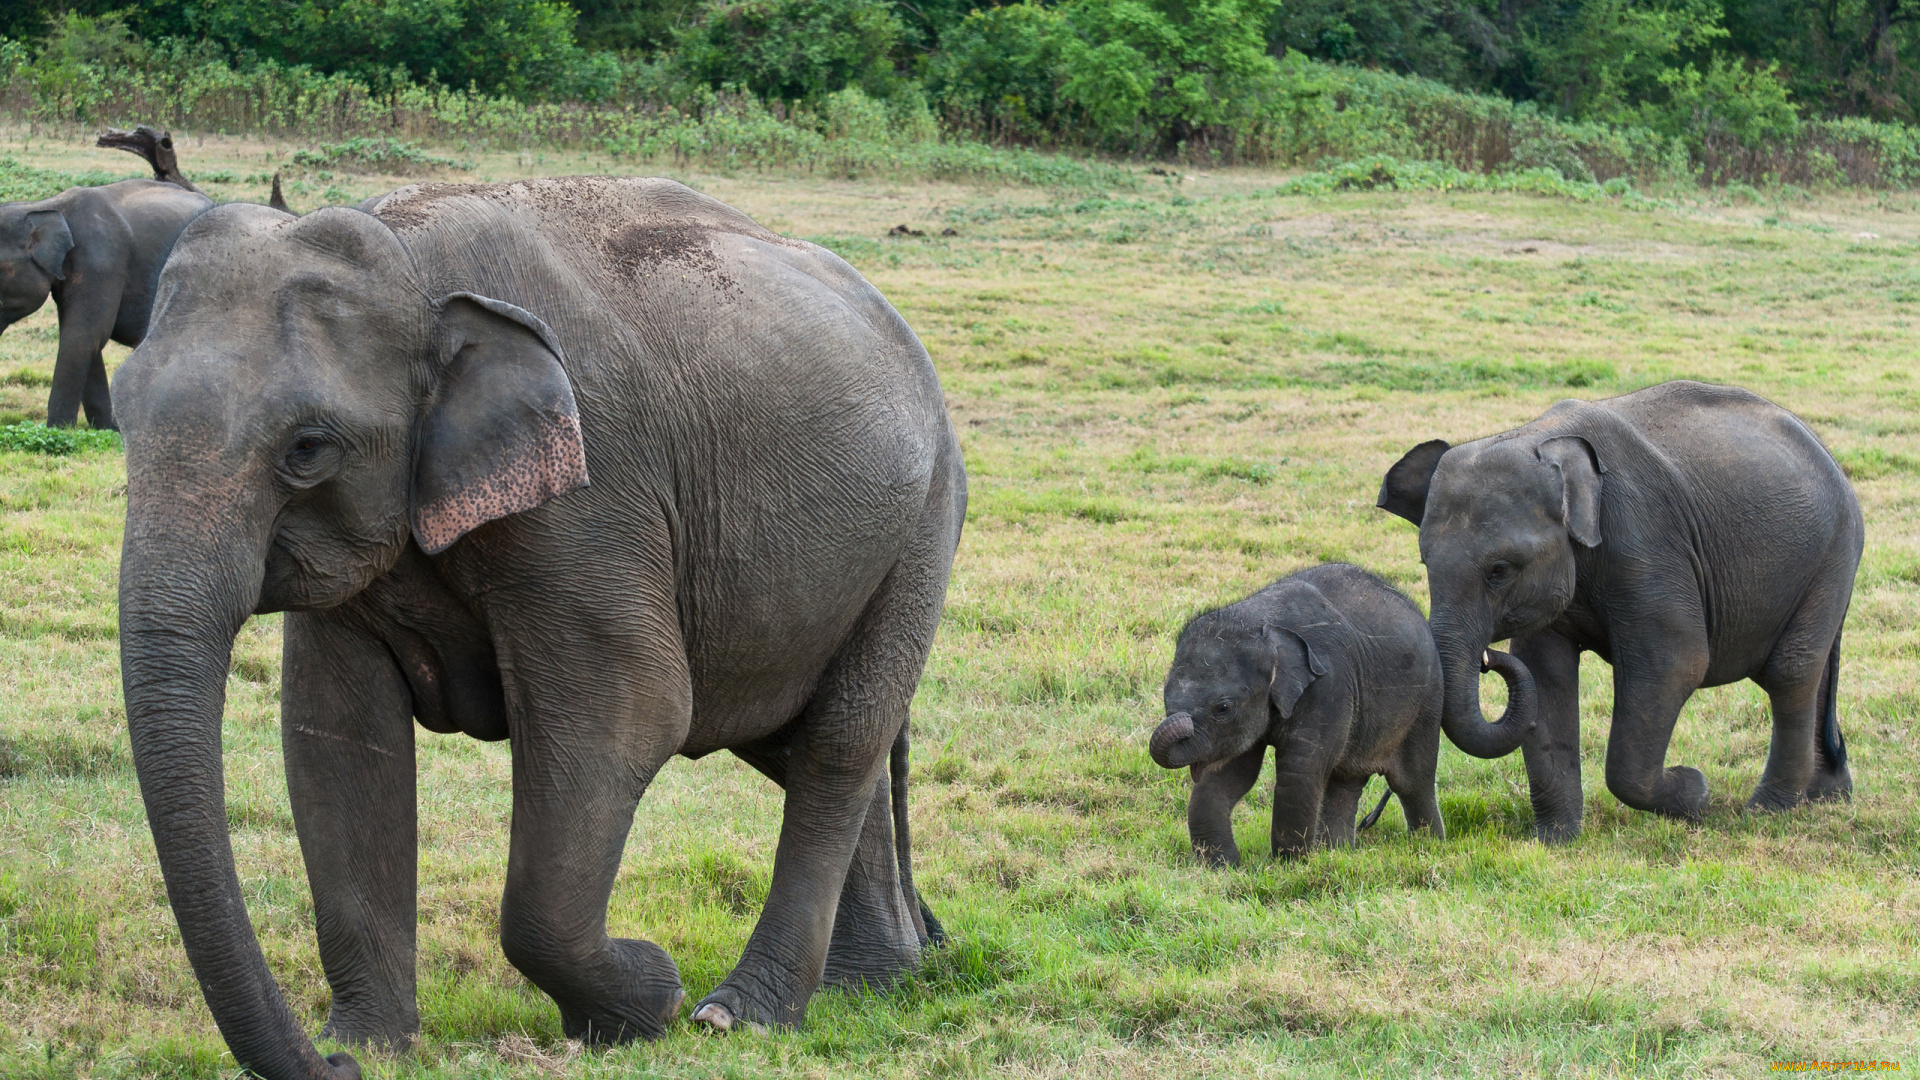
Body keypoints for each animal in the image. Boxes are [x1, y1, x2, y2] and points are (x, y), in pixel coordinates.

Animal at [0, 176, 211, 424]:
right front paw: (106, 427)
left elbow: (83, 336)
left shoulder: (102, 262)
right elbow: (88, 341)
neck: (46, 205)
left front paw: (57, 428)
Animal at [112, 174, 967, 1068]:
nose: (330, 1067)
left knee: (838, 743)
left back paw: (741, 1015)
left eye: (308, 449)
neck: (406, 257)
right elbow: (338, 740)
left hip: (921, 531)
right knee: (798, 741)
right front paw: (373, 1047)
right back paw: (876, 980)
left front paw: (645, 1001)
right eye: (119, 414)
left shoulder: (594, 497)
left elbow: (628, 715)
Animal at [1144, 557, 1520, 860]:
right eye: (1167, 698)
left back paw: (1428, 846)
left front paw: (1288, 866)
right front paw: (1224, 867)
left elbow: (1300, 770)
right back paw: (1338, 853)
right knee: (1346, 780)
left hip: (1426, 702)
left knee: (1413, 781)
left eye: (1223, 708)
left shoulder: (1330, 684)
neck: (1259, 620)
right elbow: (1228, 773)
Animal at [1382, 382, 1858, 845]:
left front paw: (1695, 792)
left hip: (1832, 556)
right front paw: (1554, 841)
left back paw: (1766, 810)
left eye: (1499, 571)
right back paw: (1825, 798)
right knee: (1809, 673)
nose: (1488, 659)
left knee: (1788, 672)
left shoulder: (1645, 541)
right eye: (1425, 564)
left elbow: (1675, 664)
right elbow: (1546, 674)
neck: (1539, 439)